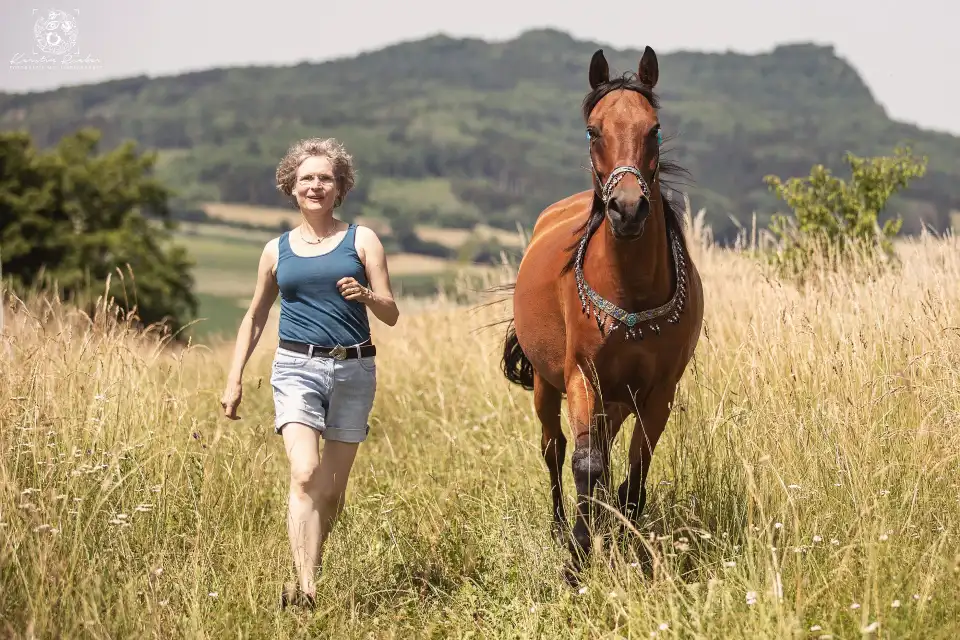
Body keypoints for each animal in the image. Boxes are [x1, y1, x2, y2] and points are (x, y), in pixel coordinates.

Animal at [499, 46, 704, 575]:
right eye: (594, 131)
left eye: (654, 129)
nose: (627, 209)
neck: (632, 297)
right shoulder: (581, 378)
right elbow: (585, 465)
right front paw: (576, 557)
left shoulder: (659, 392)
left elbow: (635, 469)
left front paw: (628, 543)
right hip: (548, 387)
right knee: (554, 449)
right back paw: (559, 526)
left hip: (617, 401)